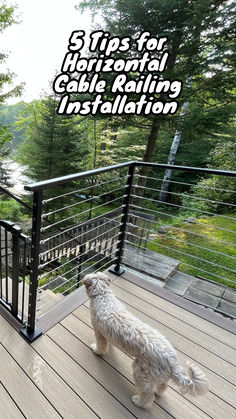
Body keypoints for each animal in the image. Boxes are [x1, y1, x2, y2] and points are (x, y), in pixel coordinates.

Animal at [83, 272, 208, 410]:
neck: (103, 296)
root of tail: (172, 364)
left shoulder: (98, 332)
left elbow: (101, 346)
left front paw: (96, 350)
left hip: (141, 373)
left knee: (148, 396)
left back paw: (139, 402)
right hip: (157, 376)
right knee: (163, 386)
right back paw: (158, 392)